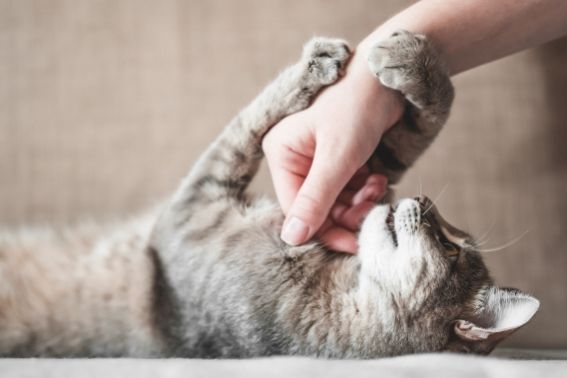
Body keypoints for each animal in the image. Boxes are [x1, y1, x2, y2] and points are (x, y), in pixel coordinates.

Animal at [0, 30, 540, 358]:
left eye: (450, 246)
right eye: (452, 232)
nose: (426, 203)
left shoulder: (190, 213)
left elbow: (244, 128)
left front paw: (315, 64)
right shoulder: (365, 168)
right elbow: (412, 126)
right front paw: (416, 66)